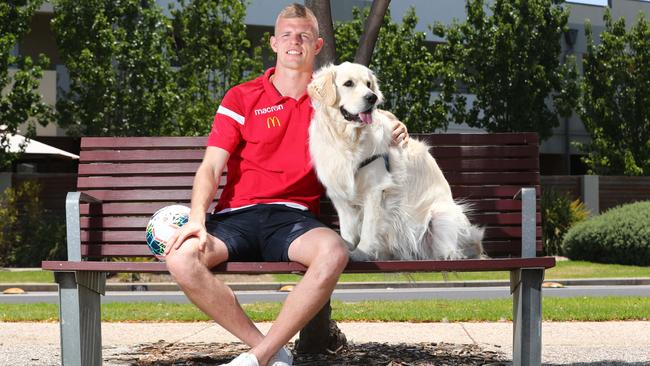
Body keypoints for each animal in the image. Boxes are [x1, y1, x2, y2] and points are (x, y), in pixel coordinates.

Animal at [308, 63, 480, 264]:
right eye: (348, 83)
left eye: (368, 84)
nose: (372, 97)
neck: (348, 140)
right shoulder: (340, 195)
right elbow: (347, 231)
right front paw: (348, 250)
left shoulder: (376, 190)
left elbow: (368, 228)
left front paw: (360, 253)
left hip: (441, 214)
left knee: (453, 249)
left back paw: (449, 256)